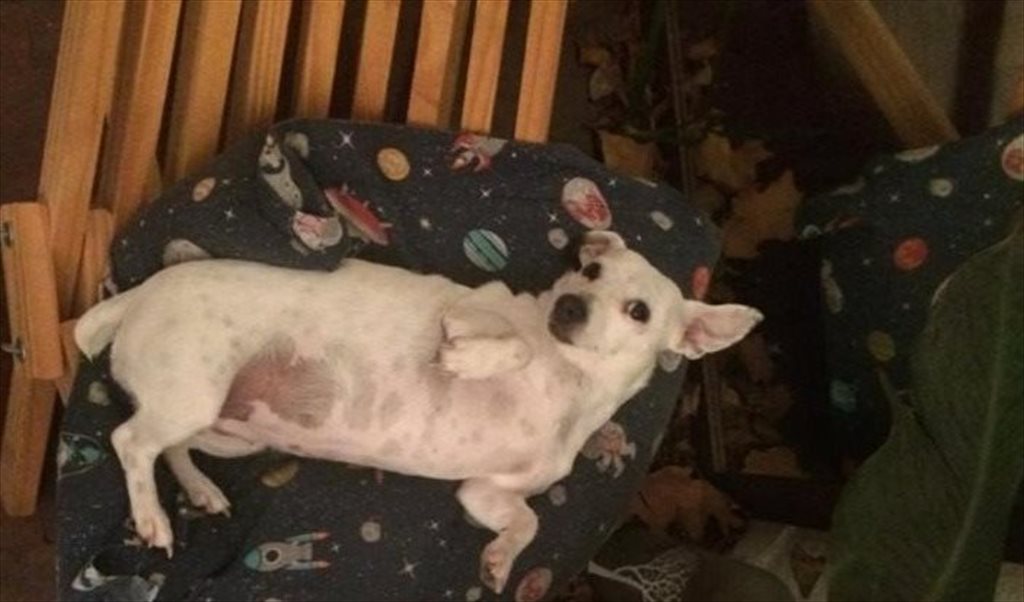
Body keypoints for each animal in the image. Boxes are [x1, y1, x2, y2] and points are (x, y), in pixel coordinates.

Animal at [75, 230, 762, 593]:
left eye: (639, 310)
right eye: (588, 270)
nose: (569, 306)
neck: (568, 381)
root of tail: (137, 295)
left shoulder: (484, 493)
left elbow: (528, 522)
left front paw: (499, 563)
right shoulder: (464, 315)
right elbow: (506, 344)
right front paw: (472, 361)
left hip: (225, 426)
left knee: (166, 445)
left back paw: (198, 490)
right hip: (195, 392)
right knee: (129, 441)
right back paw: (153, 518)